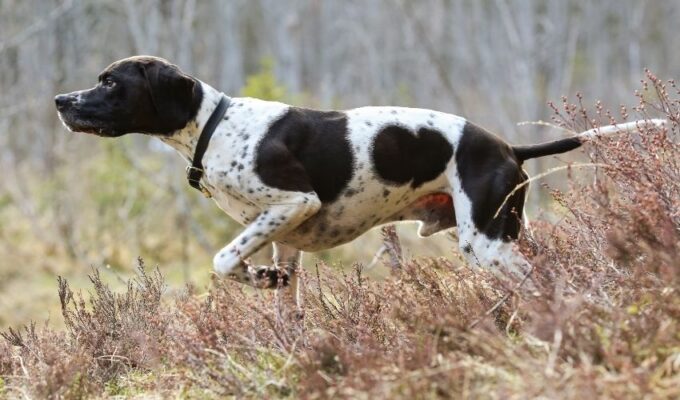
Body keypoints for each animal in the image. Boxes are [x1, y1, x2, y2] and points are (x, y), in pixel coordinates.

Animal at [54, 55, 664, 300]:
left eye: (110, 83)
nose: (61, 100)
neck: (215, 124)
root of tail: (505, 146)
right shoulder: (285, 241)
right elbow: (280, 297)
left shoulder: (294, 202)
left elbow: (224, 259)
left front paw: (250, 276)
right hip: (508, 233)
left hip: (488, 244)